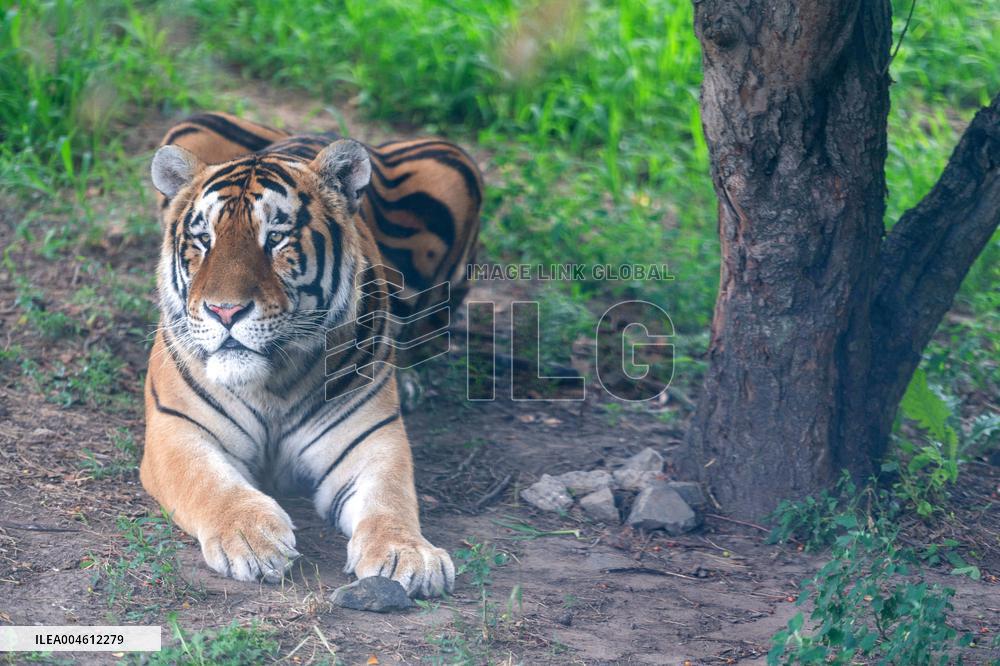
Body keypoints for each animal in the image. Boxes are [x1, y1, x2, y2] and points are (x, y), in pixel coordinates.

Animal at [140, 112, 482, 597]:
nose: (225, 310)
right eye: (203, 239)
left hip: (455, 163)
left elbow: (390, 499)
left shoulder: (371, 441)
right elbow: (211, 484)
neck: (272, 381)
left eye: (276, 238)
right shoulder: (177, 430)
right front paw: (251, 538)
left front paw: (407, 554)